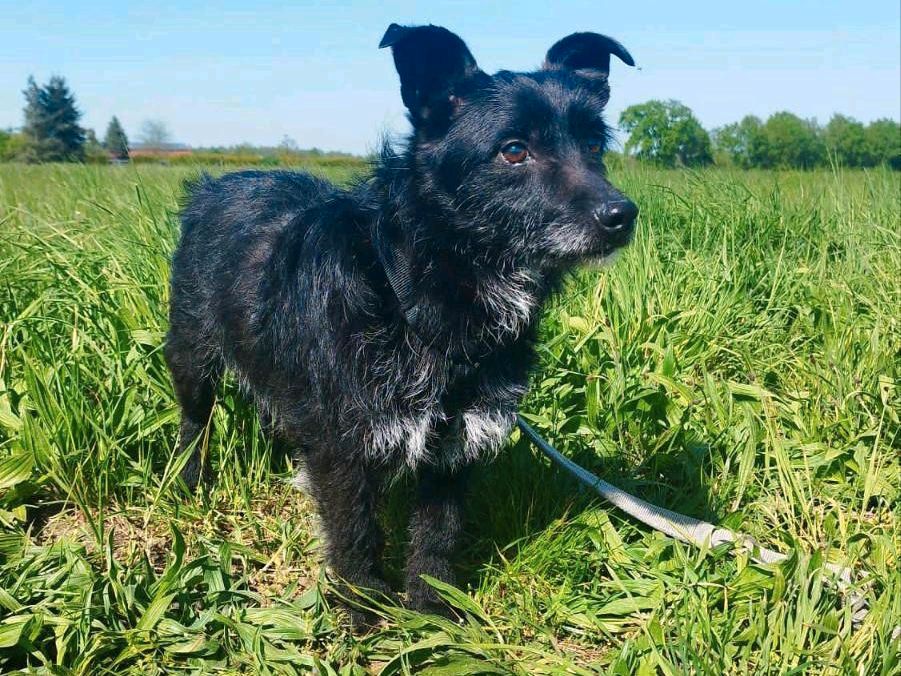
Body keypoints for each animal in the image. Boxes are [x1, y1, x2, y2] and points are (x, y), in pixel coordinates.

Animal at [165, 23, 636, 620]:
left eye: (594, 145)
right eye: (513, 150)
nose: (622, 215)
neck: (419, 295)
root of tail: (214, 185)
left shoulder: (458, 438)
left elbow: (439, 533)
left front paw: (432, 608)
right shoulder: (342, 443)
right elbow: (355, 532)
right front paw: (365, 606)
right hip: (191, 352)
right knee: (194, 421)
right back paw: (189, 479)